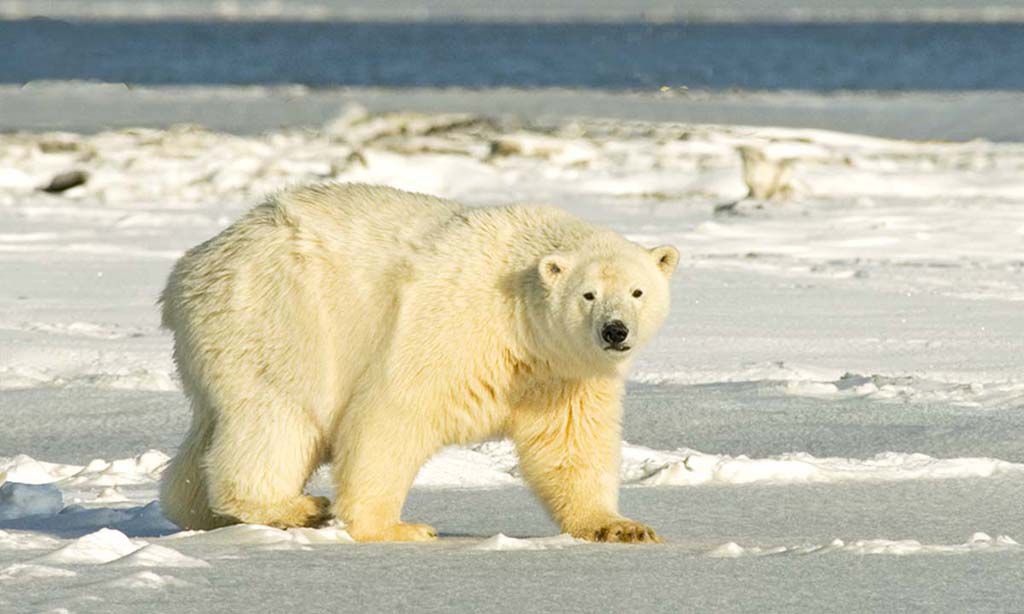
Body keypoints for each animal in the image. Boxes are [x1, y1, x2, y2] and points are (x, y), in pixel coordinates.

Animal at [159, 183, 679, 543]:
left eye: (637, 291)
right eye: (588, 294)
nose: (615, 331)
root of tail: (189, 268)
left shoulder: (562, 375)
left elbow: (571, 444)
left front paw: (622, 527)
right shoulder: (455, 327)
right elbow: (393, 413)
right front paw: (396, 528)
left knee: (207, 438)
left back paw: (202, 511)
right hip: (282, 315)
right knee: (276, 418)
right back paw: (296, 507)